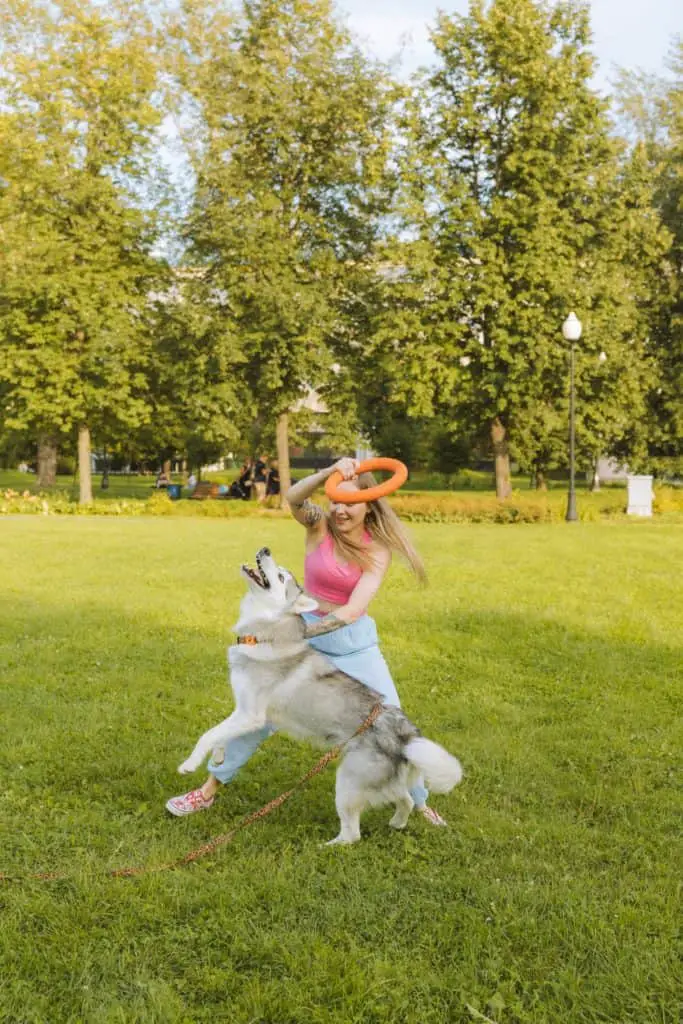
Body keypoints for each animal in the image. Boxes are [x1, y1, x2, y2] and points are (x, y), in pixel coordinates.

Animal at [179, 548, 462, 843]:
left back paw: (326, 846)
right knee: (405, 799)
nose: (265, 549)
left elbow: (208, 734)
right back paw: (396, 823)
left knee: (353, 834)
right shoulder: (244, 712)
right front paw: (218, 757)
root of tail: (404, 733)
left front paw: (189, 764)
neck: (266, 634)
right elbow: (220, 734)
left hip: (347, 782)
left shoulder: (251, 715)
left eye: (281, 576)